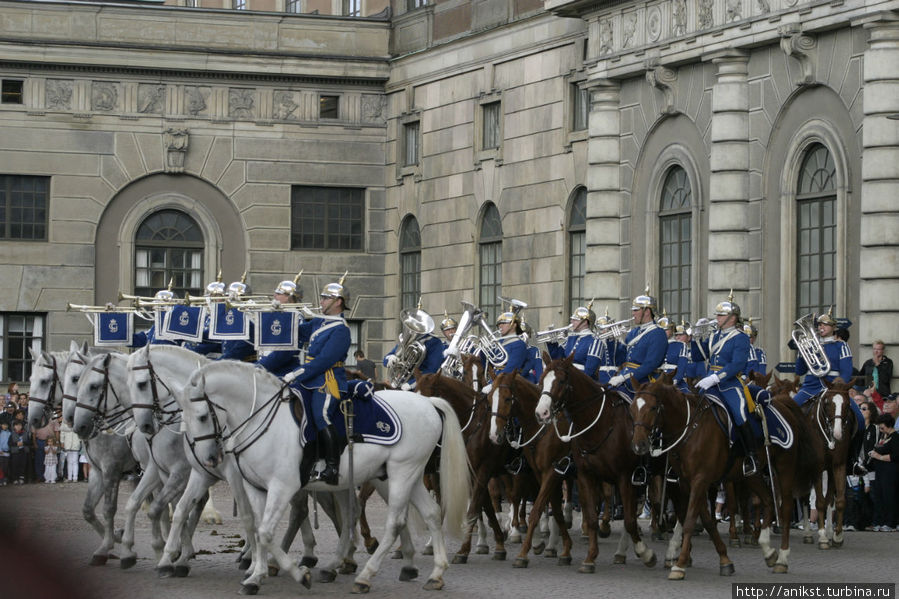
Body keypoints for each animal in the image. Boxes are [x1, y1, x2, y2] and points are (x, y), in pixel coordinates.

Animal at [130, 344, 344, 580]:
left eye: (141, 383)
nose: (145, 425)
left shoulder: (233, 475)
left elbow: (248, 518)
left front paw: (252, 563)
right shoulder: (197, 472)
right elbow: (179, 509)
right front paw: (172, 559)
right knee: (315, 511)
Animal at [187, 360, 474, 596]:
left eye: (202, 415)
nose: (209, 457)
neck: (262, 420)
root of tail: (428, 402)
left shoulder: (282, 487)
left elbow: (266, 533)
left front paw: (298, 574)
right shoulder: (256, 488)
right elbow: (259, 533)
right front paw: (256, 577)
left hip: (401, 473)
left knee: (394, 522)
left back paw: (365, 576)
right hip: (406, 476)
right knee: (432, 513)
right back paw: (436, 574)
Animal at [486, 372, 576, 568]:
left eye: (507, 398)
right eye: (489, 398)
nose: (494, 435)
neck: (542, 428)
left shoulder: (550, 472)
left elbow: (535, 508)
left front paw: (524, 552)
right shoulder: (536, 473)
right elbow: (550, 507)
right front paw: (564, 548)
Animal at [536, 354, 660, 576]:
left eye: (561, 381)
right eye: (542, 380)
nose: (541, 413)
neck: (600, 424)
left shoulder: (624, 476)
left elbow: (629, 520)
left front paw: (646, 553)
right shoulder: (586, 475)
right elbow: (593, 517)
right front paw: (590, 558)